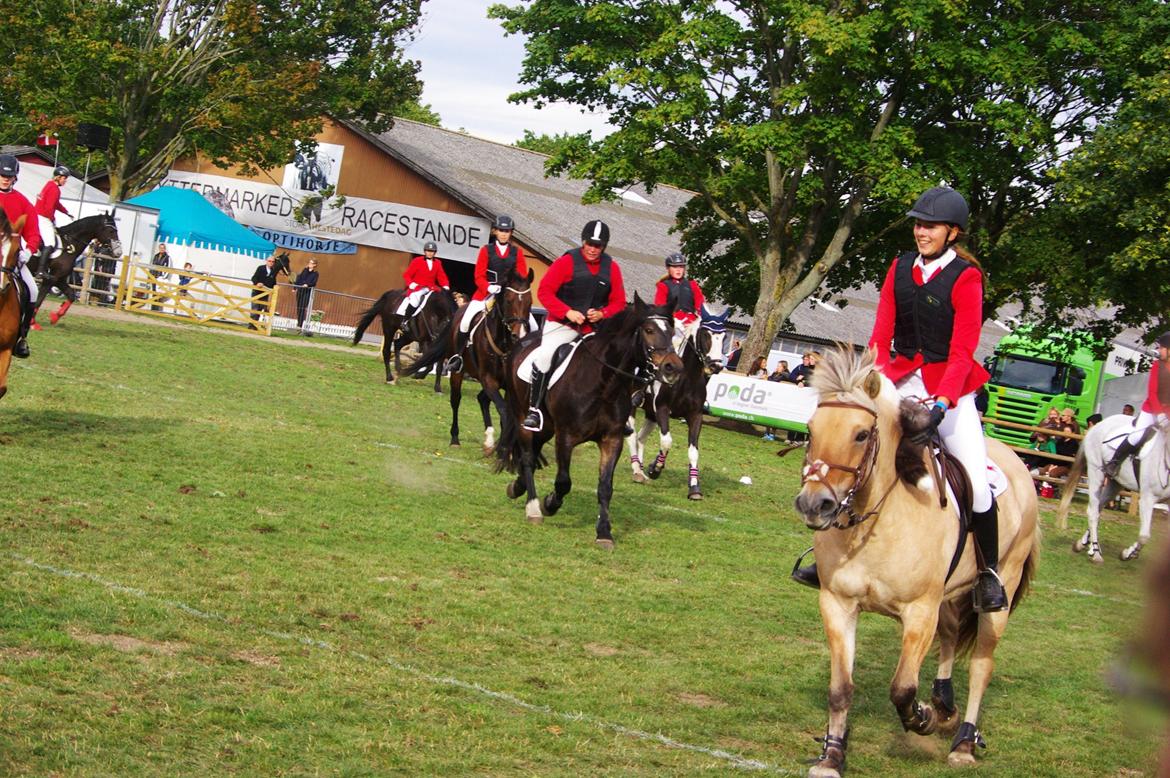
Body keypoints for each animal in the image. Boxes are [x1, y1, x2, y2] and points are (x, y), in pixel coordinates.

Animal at [402, 266, 531, 449]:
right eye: (508, 301)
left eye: (529, 302)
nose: (518, 335)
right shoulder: (488, 380)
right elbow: (504, 411)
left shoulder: (508, 386)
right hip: (458, 372)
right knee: (456, 400)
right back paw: (455, 438)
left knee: (482, 399)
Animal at [496, 297, 683, 545]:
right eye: (649, 330)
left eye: (671, 331)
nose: (673, 367)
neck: (604, 384)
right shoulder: (565, 437)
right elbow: (563, 482)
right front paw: (549, 504)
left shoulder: (612, 440)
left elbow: (605, 487)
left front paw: (604, 532)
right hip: (523, 418)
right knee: (527, 457)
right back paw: (533, 507)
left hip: (547, 428)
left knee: (533, 454)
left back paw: (517, 488)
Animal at [627, 320, 725, 498]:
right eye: (705, 335)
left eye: (723, 337)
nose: (716, 366)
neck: (686, 379)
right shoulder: (662, 410)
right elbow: (667, 442)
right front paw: (656, 468)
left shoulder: (695, 416)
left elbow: (693, 451)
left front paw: (694, 487)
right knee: (631, 436)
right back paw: (637, 470)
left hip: (651, 415)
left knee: (640, 437)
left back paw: (642, 469)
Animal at [790, 348, 1038, 772]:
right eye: (810, 429)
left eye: (861, 434)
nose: (814, 504)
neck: (877, 519)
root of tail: (1017, 460)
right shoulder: (838, 604)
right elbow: (841, 688)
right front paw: (832, 755)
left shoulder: (920, 612)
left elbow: (903, 688)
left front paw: (921, 718)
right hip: (951, 596)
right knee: (952, 636)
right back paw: (944, 704)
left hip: (997, 591)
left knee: (982, 664)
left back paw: (963, 742)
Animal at [1057, 416, 1165, 561]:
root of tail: (1101, 423)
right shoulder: (1148, 498)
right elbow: (1144, 536)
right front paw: (1128, 553)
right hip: (1096, 472)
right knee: (1093, 511)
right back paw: (1095, 552)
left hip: (1116, 483)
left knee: (1099, 508)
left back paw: (1084, 544)